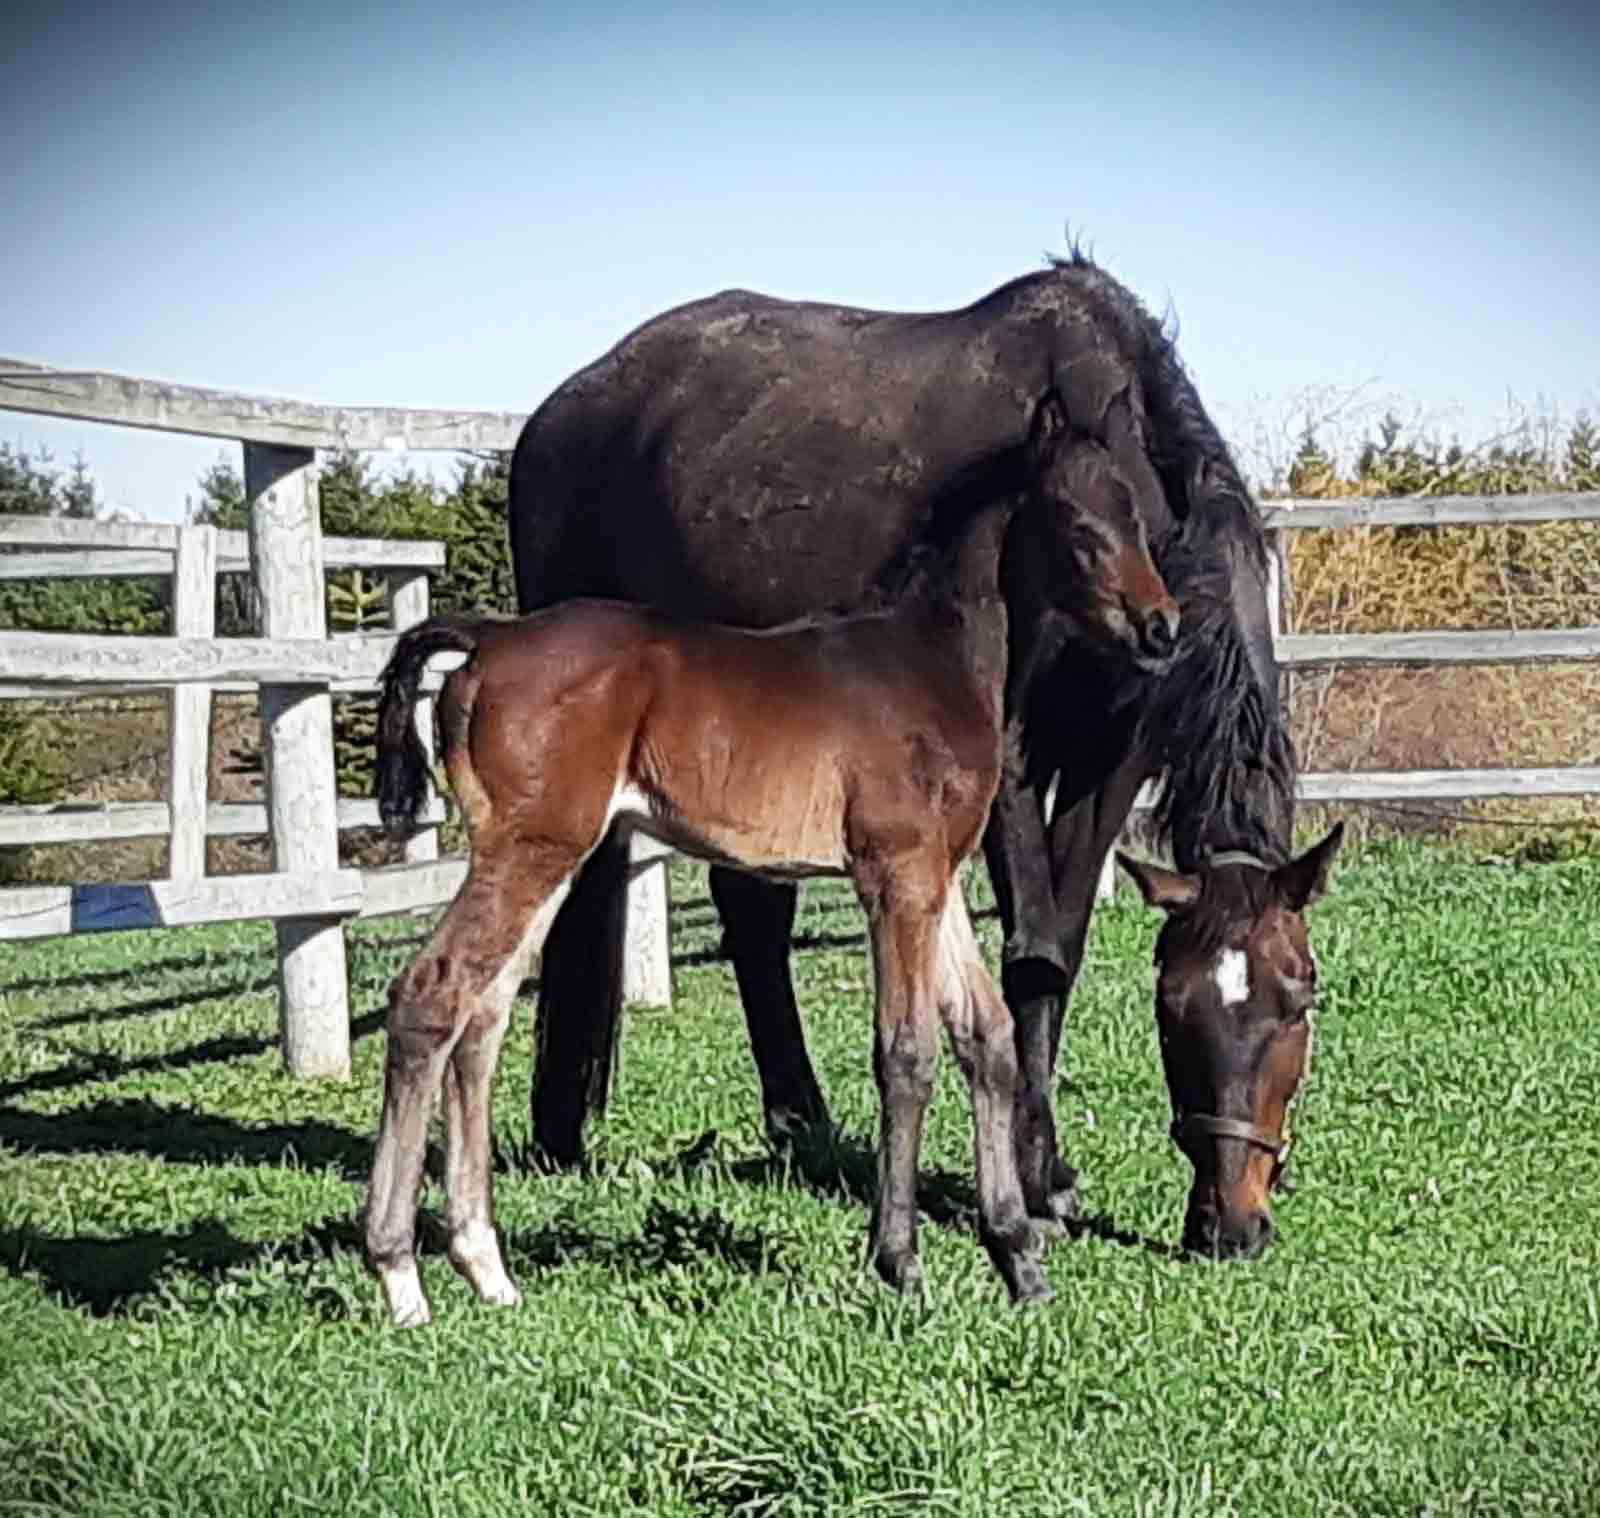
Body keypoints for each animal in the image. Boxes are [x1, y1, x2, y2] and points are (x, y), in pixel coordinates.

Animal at [364, 411, 1179, 1326]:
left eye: (1139, 516)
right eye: (1077, 526)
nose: (1163, 628)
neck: (931, 659)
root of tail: (489, 638)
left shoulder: (936, 877)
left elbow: (988, 1036)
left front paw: (1018, 1256)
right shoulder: (894, 875)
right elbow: (906, 1053)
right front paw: (901, 1262)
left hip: (546, 854)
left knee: (485, 1013)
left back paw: (486, 1267)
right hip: (530, 850)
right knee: (431, 995)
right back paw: (400, 1274)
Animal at [507, 250, 1341, 1258]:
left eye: (1298, 1001)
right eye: (1173, 1009)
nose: (1230, 1222)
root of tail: (560, 412)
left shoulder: (1111, 760)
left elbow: (1062, 945)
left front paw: (1047, 1169)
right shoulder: (1010, 758)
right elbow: (1032, 957)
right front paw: (1036, 1177)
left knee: (753, 917)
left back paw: (800, 1123)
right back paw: (565, 1130)